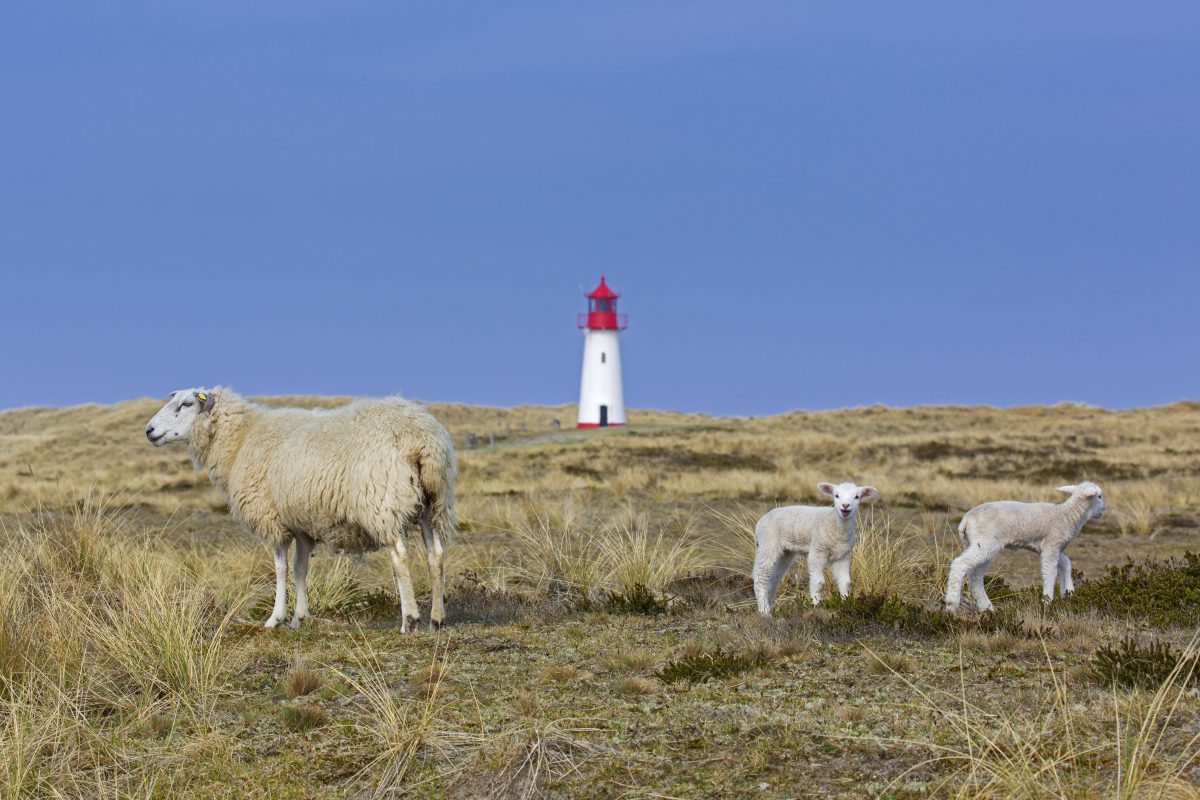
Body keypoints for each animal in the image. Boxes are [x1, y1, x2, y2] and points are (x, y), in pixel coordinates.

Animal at [145, 388, 453, 633]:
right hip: (434, 503)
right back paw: (437, 618)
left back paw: (409, 619)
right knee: (435, 555)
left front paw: (276, 618)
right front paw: (300, 617)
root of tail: (420, 436)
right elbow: (300, 569)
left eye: (186, 403)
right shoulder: (303, 525)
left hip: (382, 500)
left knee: (399, 556)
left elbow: (281, 569)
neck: (239, 441)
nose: (149, 431)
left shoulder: (272, 519)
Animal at [748, 479, 883, 618]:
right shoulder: (818, 549)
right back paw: (764, 611)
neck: (837, 526)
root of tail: (760, 521)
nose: (845, 505)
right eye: (836, 495)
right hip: (768, 544)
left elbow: (845, 581)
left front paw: (846, 605)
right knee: (761, 577)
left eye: (856, 497)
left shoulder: (843, 555)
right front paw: (817, 606)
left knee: (774, 579)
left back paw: (770, 608)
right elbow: (819, 582)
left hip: (785, 552)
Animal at [945, 479, 1104, 618]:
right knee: (960, 564)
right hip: (984, 543)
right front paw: (1047, 602)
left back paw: (987, 609)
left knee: (975, 576)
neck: (1067, 516)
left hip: (976, 544)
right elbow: (1050, 572)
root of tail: (966, 519)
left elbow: (1066, 563)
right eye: (1099, 496)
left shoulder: (1052, 548)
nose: (1103, 509)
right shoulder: (1051, 545)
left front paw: (1068, 593)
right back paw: (951, 605)